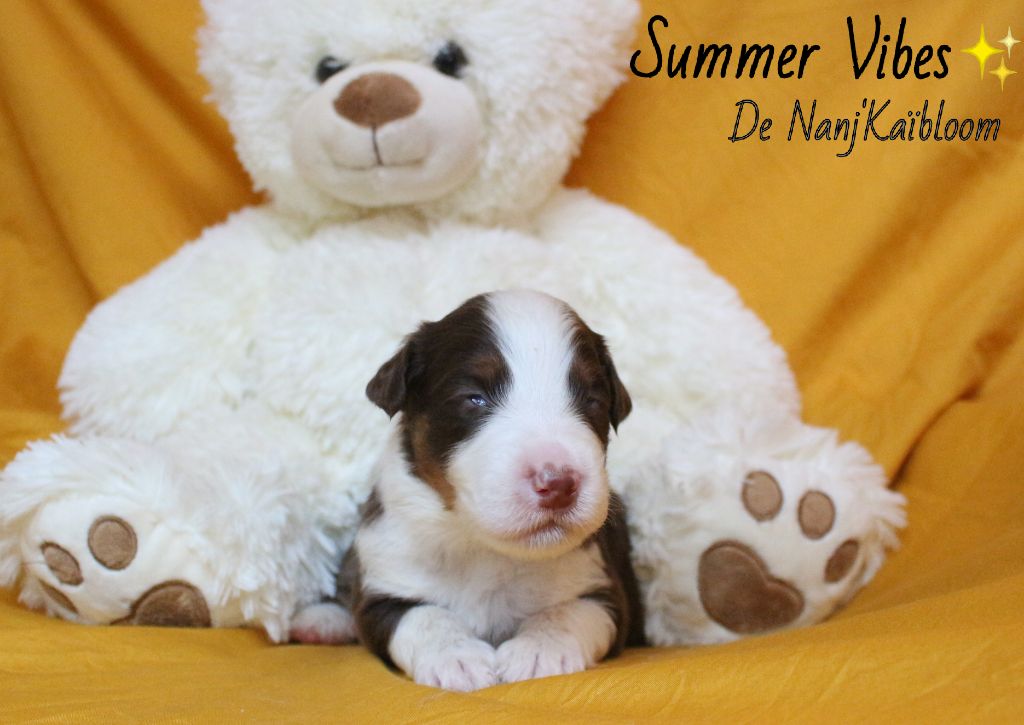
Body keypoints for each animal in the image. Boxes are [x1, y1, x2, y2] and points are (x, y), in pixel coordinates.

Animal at [330, 289, 645, 690]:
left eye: (592, 401)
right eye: (474, 398)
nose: (558, 483)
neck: (484, 548)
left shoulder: (604, 588)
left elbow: (570, 611)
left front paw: (538, 650)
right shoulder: (384, 583)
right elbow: (423, 616)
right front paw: (457, 658)